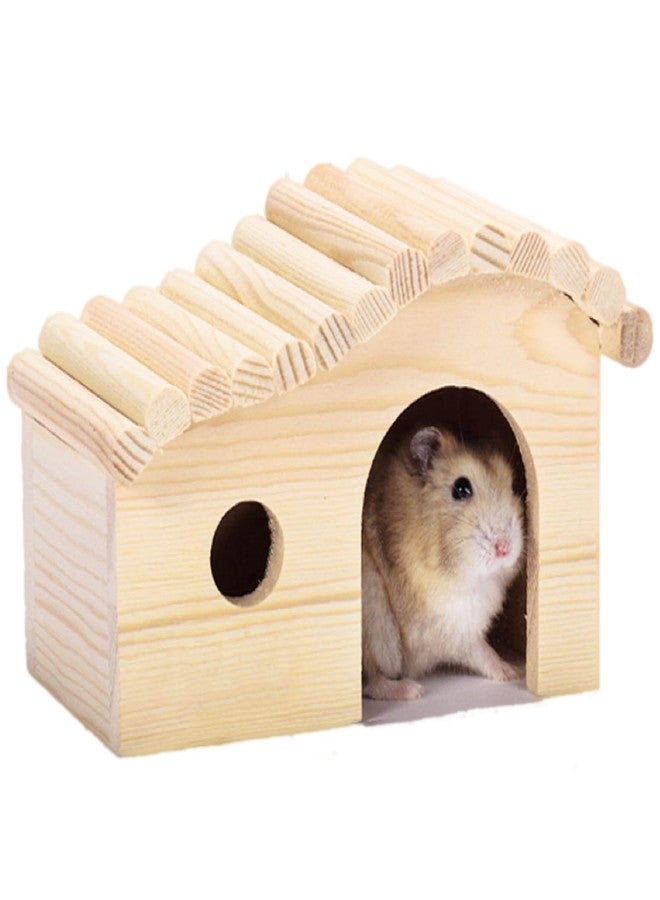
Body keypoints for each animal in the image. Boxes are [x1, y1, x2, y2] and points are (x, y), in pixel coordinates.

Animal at [362, 425, 525, 701]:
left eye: (514, 485)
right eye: (461, 488)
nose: (504, 548)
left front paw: (514, 671)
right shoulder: (448, 627)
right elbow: (480, 650)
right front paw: (511, 672)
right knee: (371, 682)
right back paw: (412, 690)